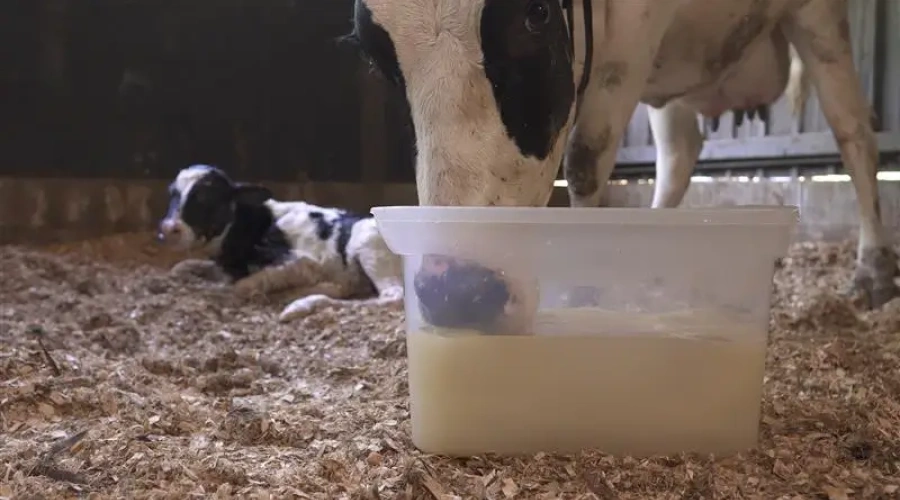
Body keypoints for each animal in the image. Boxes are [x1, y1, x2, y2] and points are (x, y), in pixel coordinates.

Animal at [157, 164, 404, 322]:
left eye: (206, 197)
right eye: (172, 193)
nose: (168, 229)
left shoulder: (302, 262)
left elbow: (240, 287)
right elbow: (186, 267)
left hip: (370, 247)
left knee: (392, 297)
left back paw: (302, 304)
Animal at [345, 0, 898, 333]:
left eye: (536, 15)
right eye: (374, 57)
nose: (456, 294)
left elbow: (587, 159)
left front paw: (586, 288)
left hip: (817, 14)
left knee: (852, 129)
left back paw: (874, 269)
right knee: (678, 156)